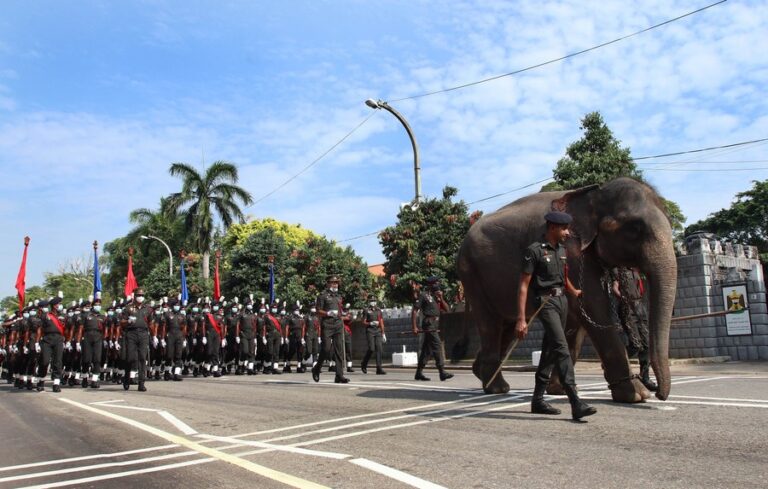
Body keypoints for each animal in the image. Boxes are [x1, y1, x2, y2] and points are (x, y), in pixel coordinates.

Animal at [460, 177, 676, 402]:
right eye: (634, 229)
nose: (658, 393)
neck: (595, 194)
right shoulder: (573, 251)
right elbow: (592, 306)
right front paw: (636, 395)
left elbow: (578, 317)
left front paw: (560, 390)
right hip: (471, 273)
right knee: (490, 324)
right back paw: (497, 388)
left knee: (510, 324)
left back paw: (481, 373)